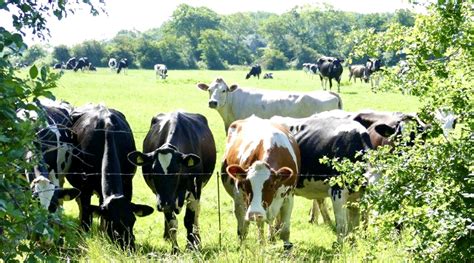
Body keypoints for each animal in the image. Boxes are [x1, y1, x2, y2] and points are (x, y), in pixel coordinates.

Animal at [67, 104, 153, 250]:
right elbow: (86, 216)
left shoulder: (128, 183)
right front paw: (83, 233)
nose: (128, 247)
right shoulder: (85, 187)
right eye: (113, 222)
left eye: (133, 220)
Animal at [126, 111, 215, 252]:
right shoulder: (163, 197)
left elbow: (189, 219)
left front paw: (191, 246)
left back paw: (197, 239)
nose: (165, 204)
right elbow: (172, 222)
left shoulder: (194, 190)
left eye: (177, 171)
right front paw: (175, 250)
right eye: (153, 171)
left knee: (197, 213)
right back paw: (167, 236)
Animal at [221, 116, 300, 251]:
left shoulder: (289, 197)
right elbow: (244, 229)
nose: (254, 213)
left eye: (271, 185)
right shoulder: (239, 197)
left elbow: (285, 231)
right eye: (245, 184)